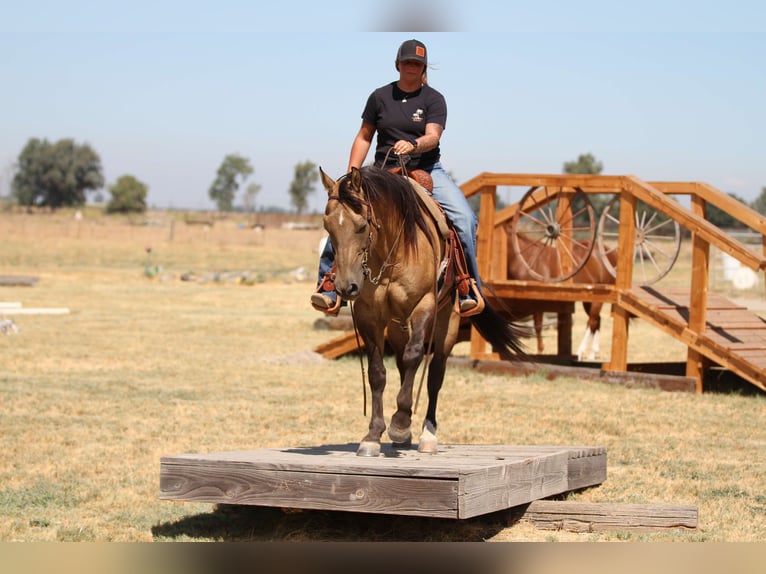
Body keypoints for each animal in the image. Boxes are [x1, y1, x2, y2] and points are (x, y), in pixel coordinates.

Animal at [320, 166, 528, 460]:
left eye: (361, 225)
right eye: (328, 227)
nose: (345, 286)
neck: (390, 252)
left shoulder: (424, 305)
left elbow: (416, 357)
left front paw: (399, 423)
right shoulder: (368, 315)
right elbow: (377, 372)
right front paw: (373, 435)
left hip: (447, 323)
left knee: (434, 374)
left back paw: (426, 434)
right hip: (397, 327)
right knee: (402, 365)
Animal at [510, 228, 616, 360]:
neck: (527, 258)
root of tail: (609, 252)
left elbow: (538, 326)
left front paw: (539, 352)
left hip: (598, 299)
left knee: (591, 322)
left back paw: (580, 352)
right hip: (588, 300)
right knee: (597, 321)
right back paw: (592, 354)